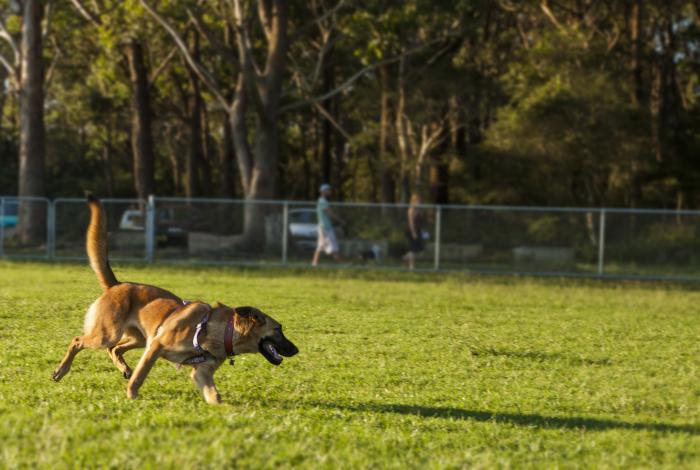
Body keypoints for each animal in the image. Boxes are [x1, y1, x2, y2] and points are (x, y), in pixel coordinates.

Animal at [52, 195, 298, 404]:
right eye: (278, 329)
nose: (296, 350)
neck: (220, 332)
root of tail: (116, 284)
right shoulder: (156, 346)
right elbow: (140, 376)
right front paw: (132, 396)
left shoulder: (200, 372)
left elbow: (215, 396)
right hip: (109, 334)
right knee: (78, 341)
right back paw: (61, 370)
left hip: (138, 338)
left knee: (114, 350)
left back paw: (123, 368)